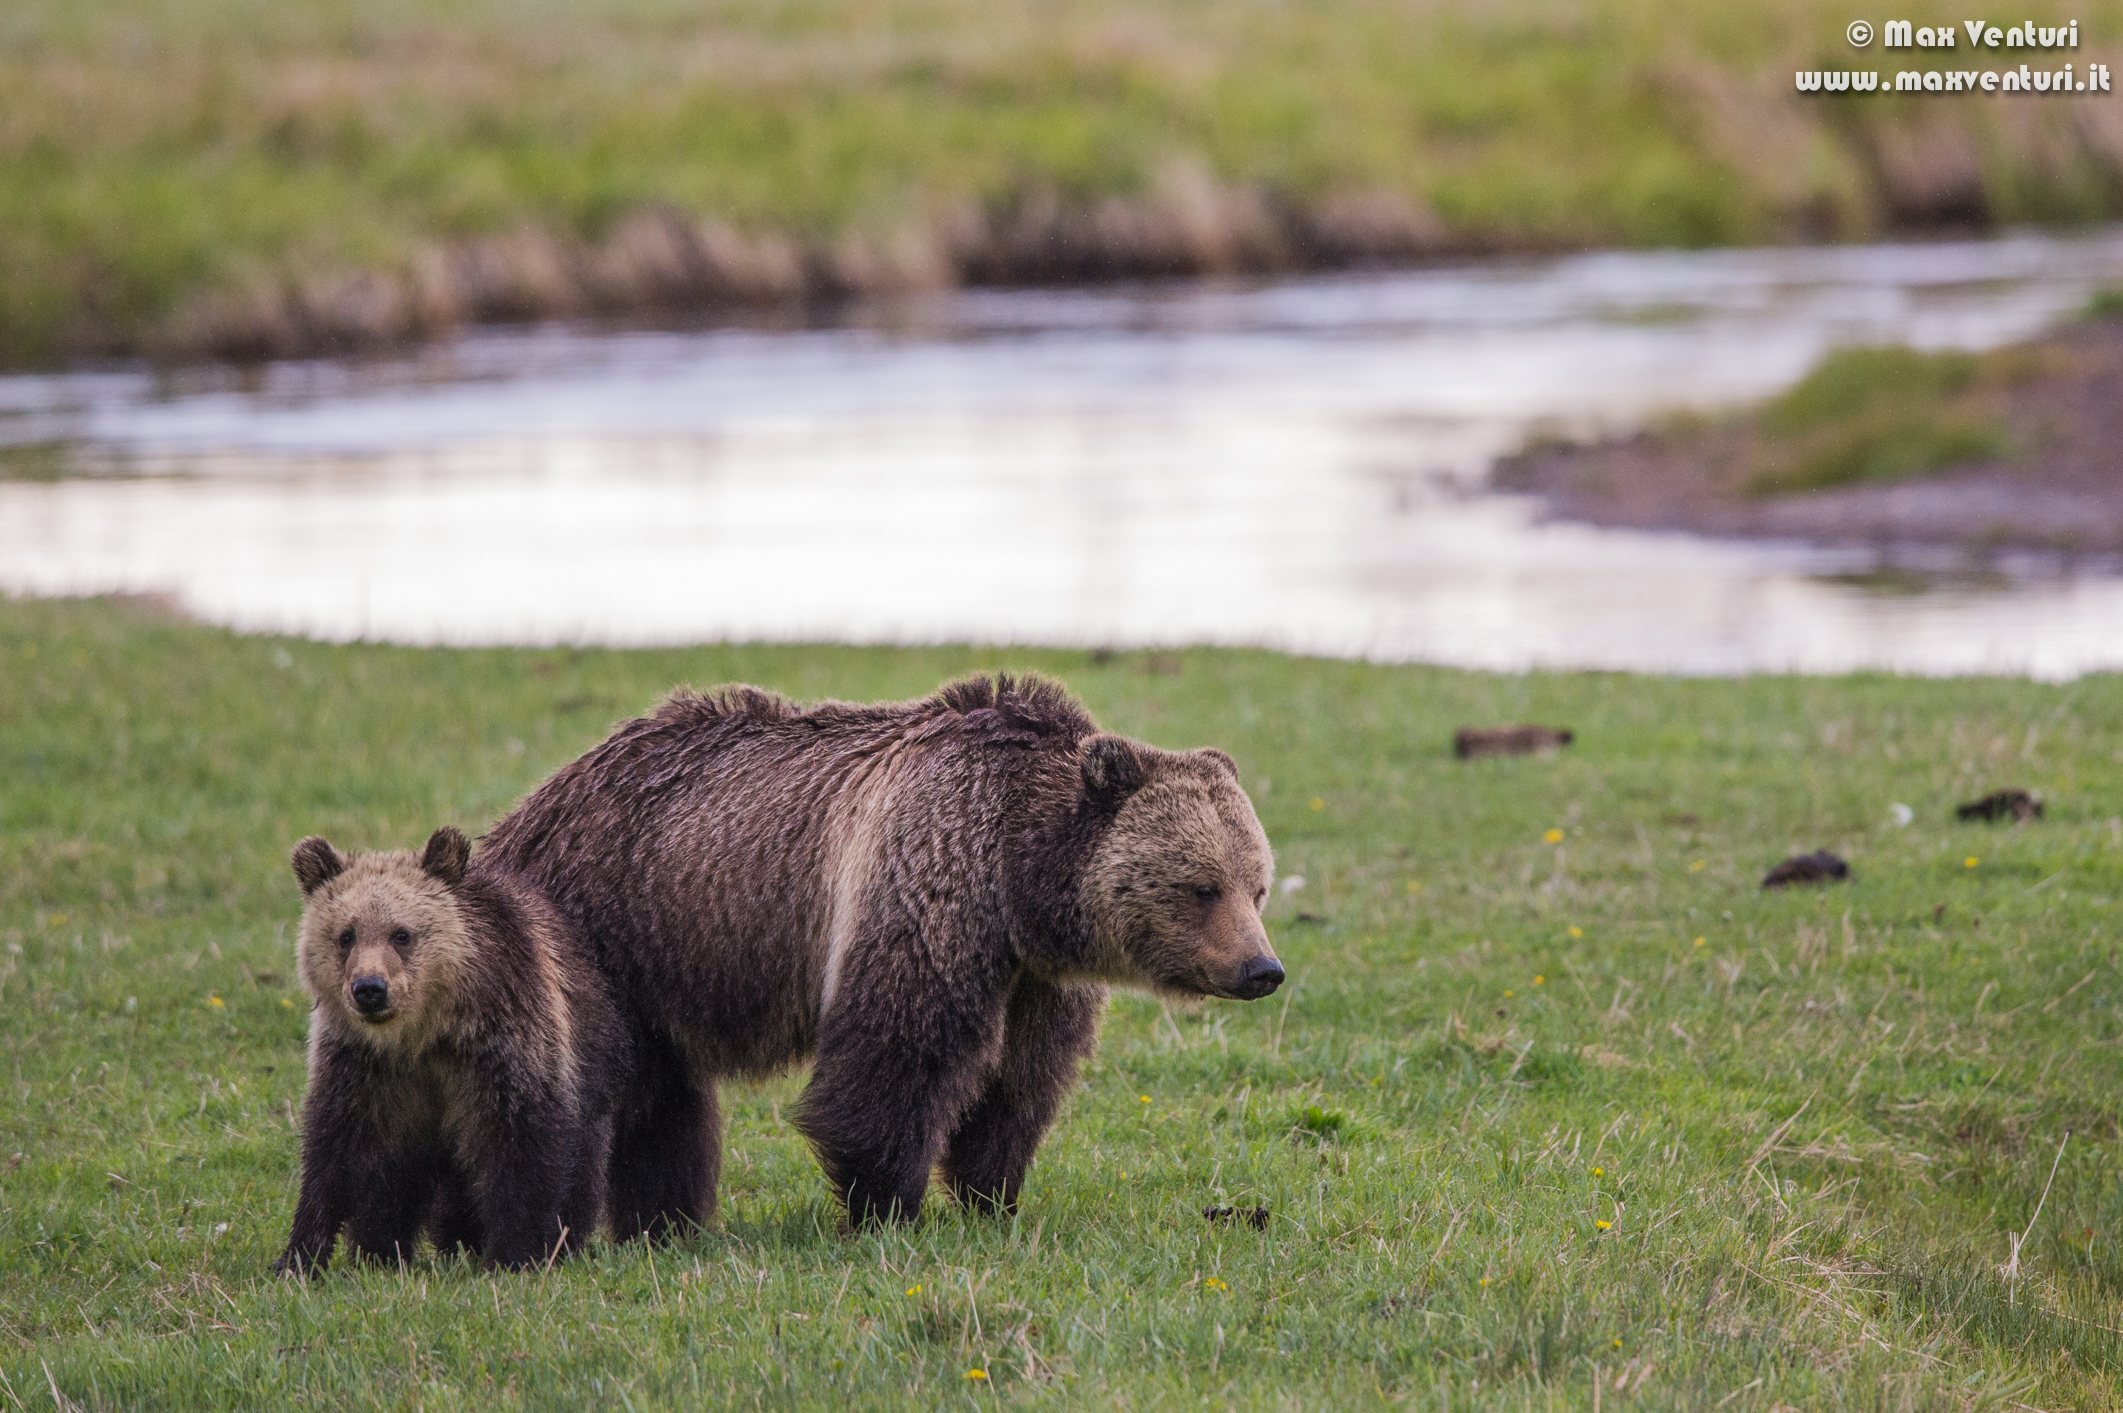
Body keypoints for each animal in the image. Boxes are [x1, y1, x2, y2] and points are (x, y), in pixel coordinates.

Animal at [481, 670, 1273, 1230]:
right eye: (1202, 886)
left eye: (1256, 886)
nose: (1262, 969)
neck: (1019, 870)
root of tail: (524, 813)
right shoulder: (929, 878)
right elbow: (899, 1052)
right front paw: (886, 1203)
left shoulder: (1035, 976)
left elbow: (1021, 1078)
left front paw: (994, 1193)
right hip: (603, 932)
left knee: (667, 1103)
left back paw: (667, 1219)